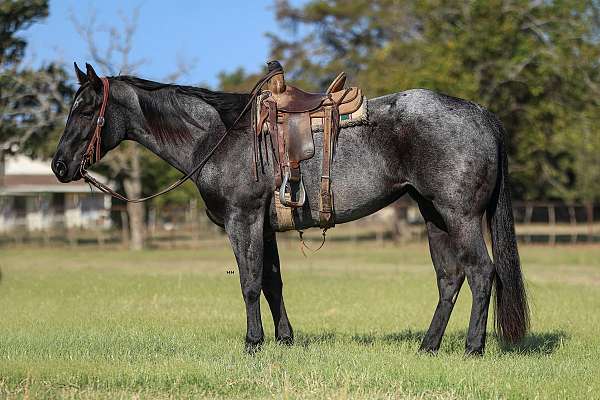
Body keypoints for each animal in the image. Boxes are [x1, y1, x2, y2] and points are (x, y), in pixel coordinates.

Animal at [52, 61, 528, 354]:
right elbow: (272, 283)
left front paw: (253, 342)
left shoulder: (242, 220)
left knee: (481, 272)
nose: (59, 165)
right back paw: (429, 346)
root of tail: (480, 113)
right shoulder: (263, 226)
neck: (219, 137)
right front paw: (283, 339)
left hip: (460, 217)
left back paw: (473, 346)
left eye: (86, 109)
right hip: (434, 216)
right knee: (449, 278)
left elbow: (249, 282)